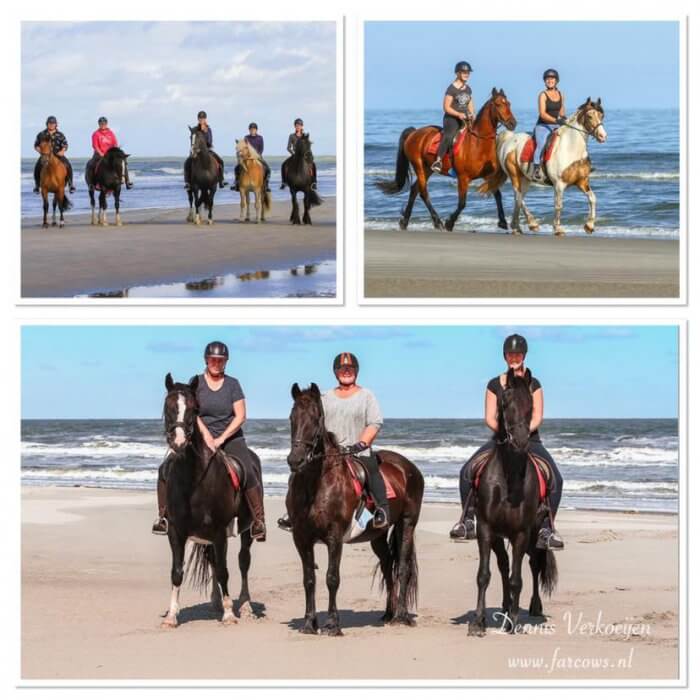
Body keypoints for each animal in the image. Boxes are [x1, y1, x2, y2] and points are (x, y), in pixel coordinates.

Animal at [286, 382, 426, 636]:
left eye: (316, 418)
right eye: (292, 417)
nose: (295, 460)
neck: (316, 483)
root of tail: (409, 468)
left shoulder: (334, 537)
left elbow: (332, 578)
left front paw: (333, 625)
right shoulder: (301, 538)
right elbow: (309, 579)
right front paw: (309, 624)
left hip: (407, 523)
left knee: (402, 568)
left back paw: (401, 616)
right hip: (378, 535)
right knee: (387, 566)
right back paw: (388, 613)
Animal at [374, 87, 516, 232]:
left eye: (508, 103)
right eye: (498, 104)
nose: (512, 123)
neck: (477, 143)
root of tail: (414, 133)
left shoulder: (488, 175)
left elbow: (497, 194)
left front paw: (502, 221)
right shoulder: (463, 178)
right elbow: (462, 203)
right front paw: (449, 223)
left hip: (428, 169)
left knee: (414, 190)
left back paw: (405, 222)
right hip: (419, 166)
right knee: (423, 193)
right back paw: (437, 222)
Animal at [470, 370, 556, 636]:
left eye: (530, 405)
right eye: (505, 403)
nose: (520, 441)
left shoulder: (521, 532)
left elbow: (518, 579)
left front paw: (514, 622)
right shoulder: (486, 529)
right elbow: (484, 575)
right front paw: (478, 622)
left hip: (535, 535)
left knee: (534, 564)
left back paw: (533, 607)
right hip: (500, 536)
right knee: (504, 566)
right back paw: (505, 607)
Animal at [482, 97, 608, 237]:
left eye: (601, 116)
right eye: (590, 116)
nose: (603, 136)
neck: (571, 149)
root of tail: (509, 138)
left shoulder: (582, 181)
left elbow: (592, 198)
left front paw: (589, 226)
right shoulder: (559, 184)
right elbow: (558, 205)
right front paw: (558, 229)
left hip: (525, 179)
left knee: (519, 198)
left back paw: (522, 226)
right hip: (515, 175)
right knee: (518, 196)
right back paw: (526, 225)